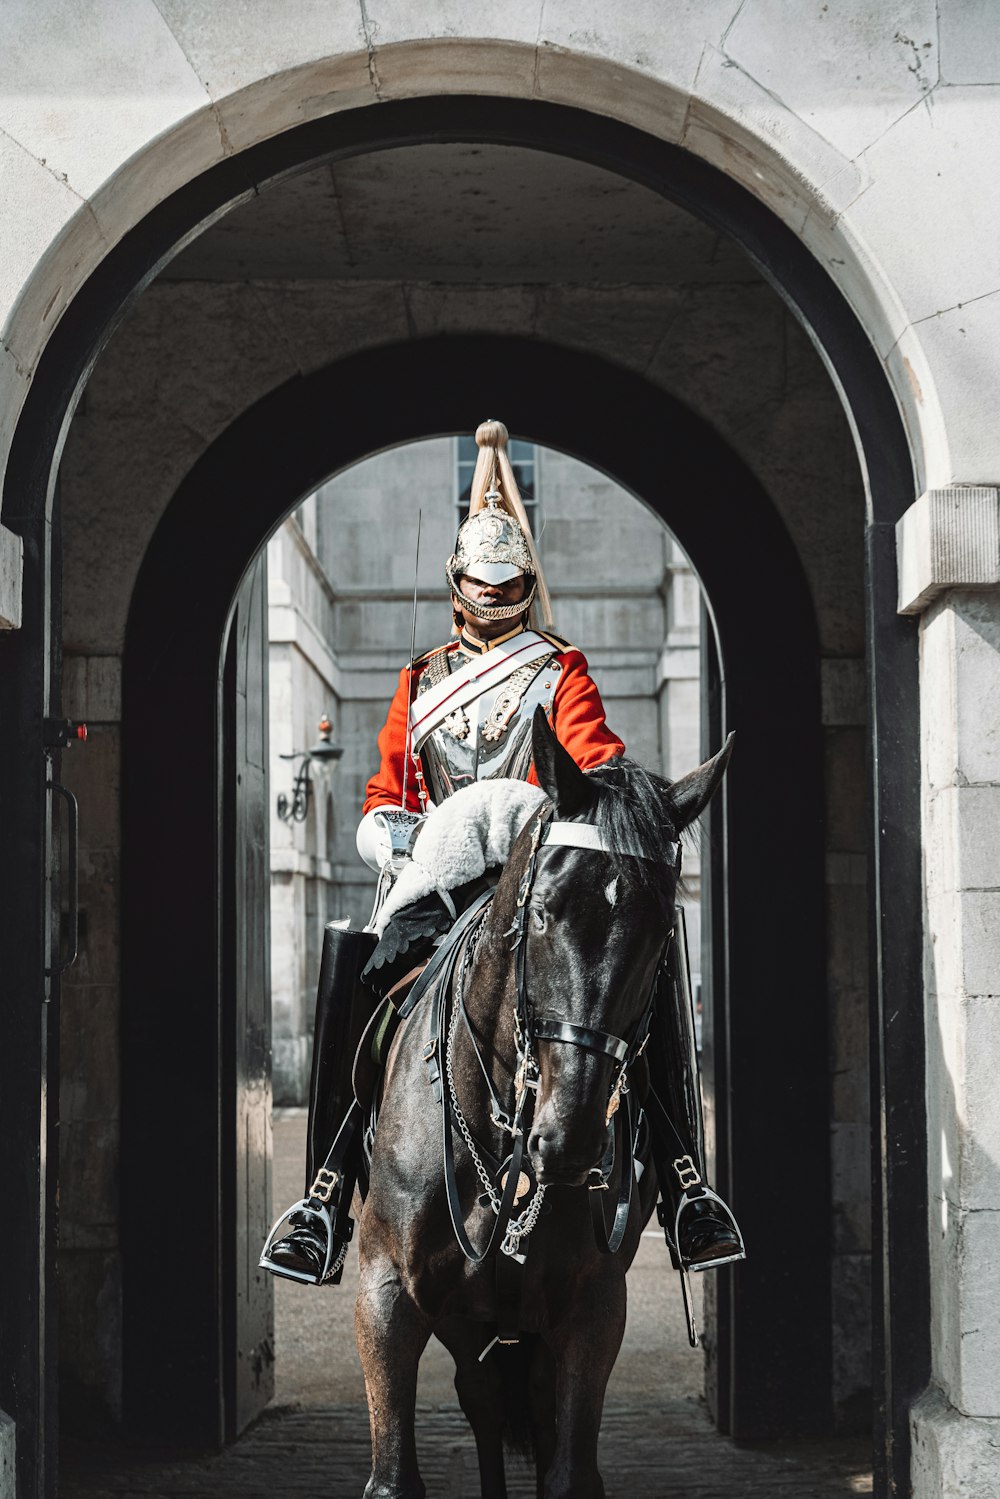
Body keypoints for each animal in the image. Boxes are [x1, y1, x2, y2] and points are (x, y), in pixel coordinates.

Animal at [355, 710, 731, 1499]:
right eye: (543, 912)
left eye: (661, 931)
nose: (570, 1139)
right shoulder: (386, 1294)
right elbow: (395, 1474)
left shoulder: (592, 1307)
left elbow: (569, 1469)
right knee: (483, 1402)